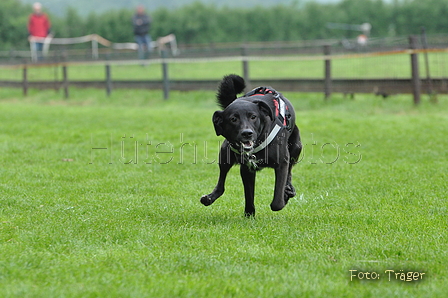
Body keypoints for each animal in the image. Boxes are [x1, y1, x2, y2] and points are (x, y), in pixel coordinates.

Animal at [201, 74, 302, 217]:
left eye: (253, 117)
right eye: (233, 119)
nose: (247, 133)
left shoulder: (282, 162)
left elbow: (277, 202)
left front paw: (284, 196)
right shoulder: (247, 169)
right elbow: (249, 194)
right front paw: (249, 214)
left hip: (296, 147)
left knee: (290, 172)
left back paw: (288, 190)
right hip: (224, 154)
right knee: (221, 183)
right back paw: (209, 197)